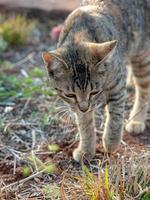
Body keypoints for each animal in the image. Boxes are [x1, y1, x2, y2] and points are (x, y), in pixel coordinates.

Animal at [42, 0, 150, 162]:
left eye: (94, 92)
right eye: (70, 95)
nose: (84, 107)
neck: (79, 35)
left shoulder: (117, 82)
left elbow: (116, 114)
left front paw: (111, 142)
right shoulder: (77, 106)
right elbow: (85, 124)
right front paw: (86, 150)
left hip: (141, 53)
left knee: (144, 89)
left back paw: (136, 120)